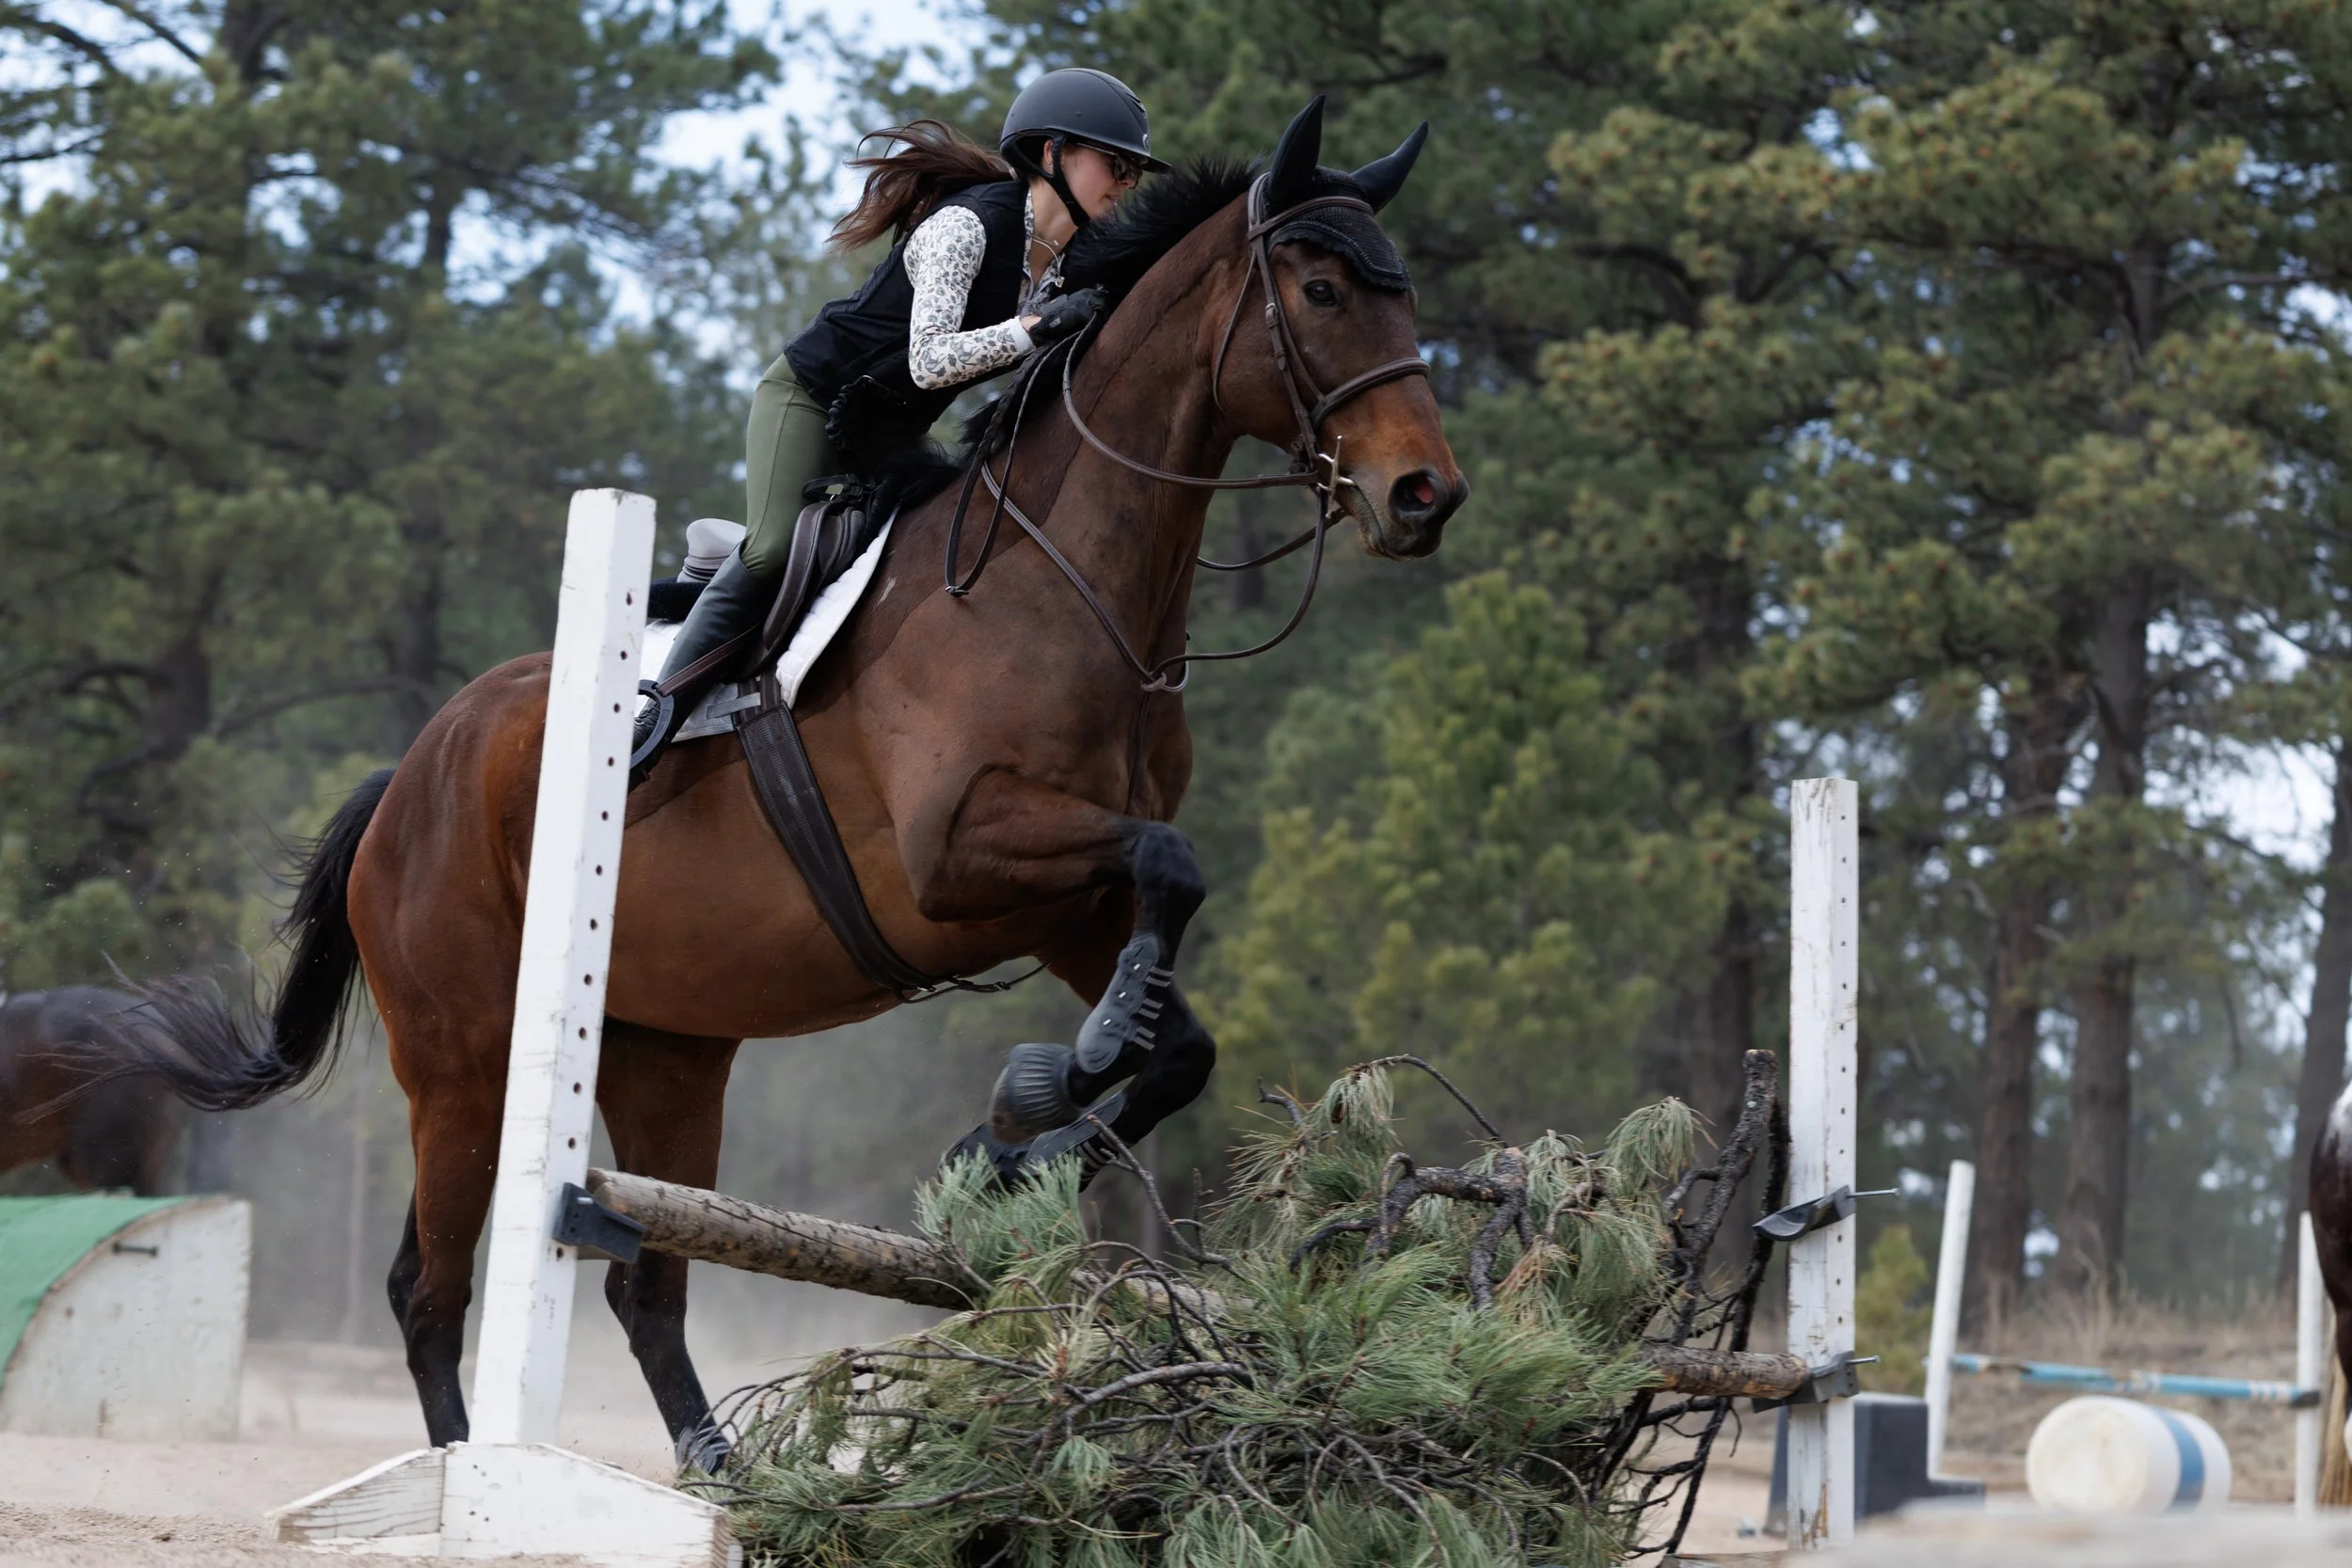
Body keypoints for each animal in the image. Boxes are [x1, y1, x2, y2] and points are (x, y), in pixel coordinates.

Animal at [115, 98, 1467, 1465]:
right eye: (1322, 288)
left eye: (1403, 294)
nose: (1426, 495)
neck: (1061, 581)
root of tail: (409, 775)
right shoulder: (960, 856)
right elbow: (1168, 870)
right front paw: (1039, 1091)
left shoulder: (1065, 898)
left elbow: (1175, 1024)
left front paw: (1008, 1142)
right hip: (465, 1057)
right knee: (429, 1289)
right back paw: (462, 1470)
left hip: (664, 1052)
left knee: (641, 1286)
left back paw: (720, 1472)